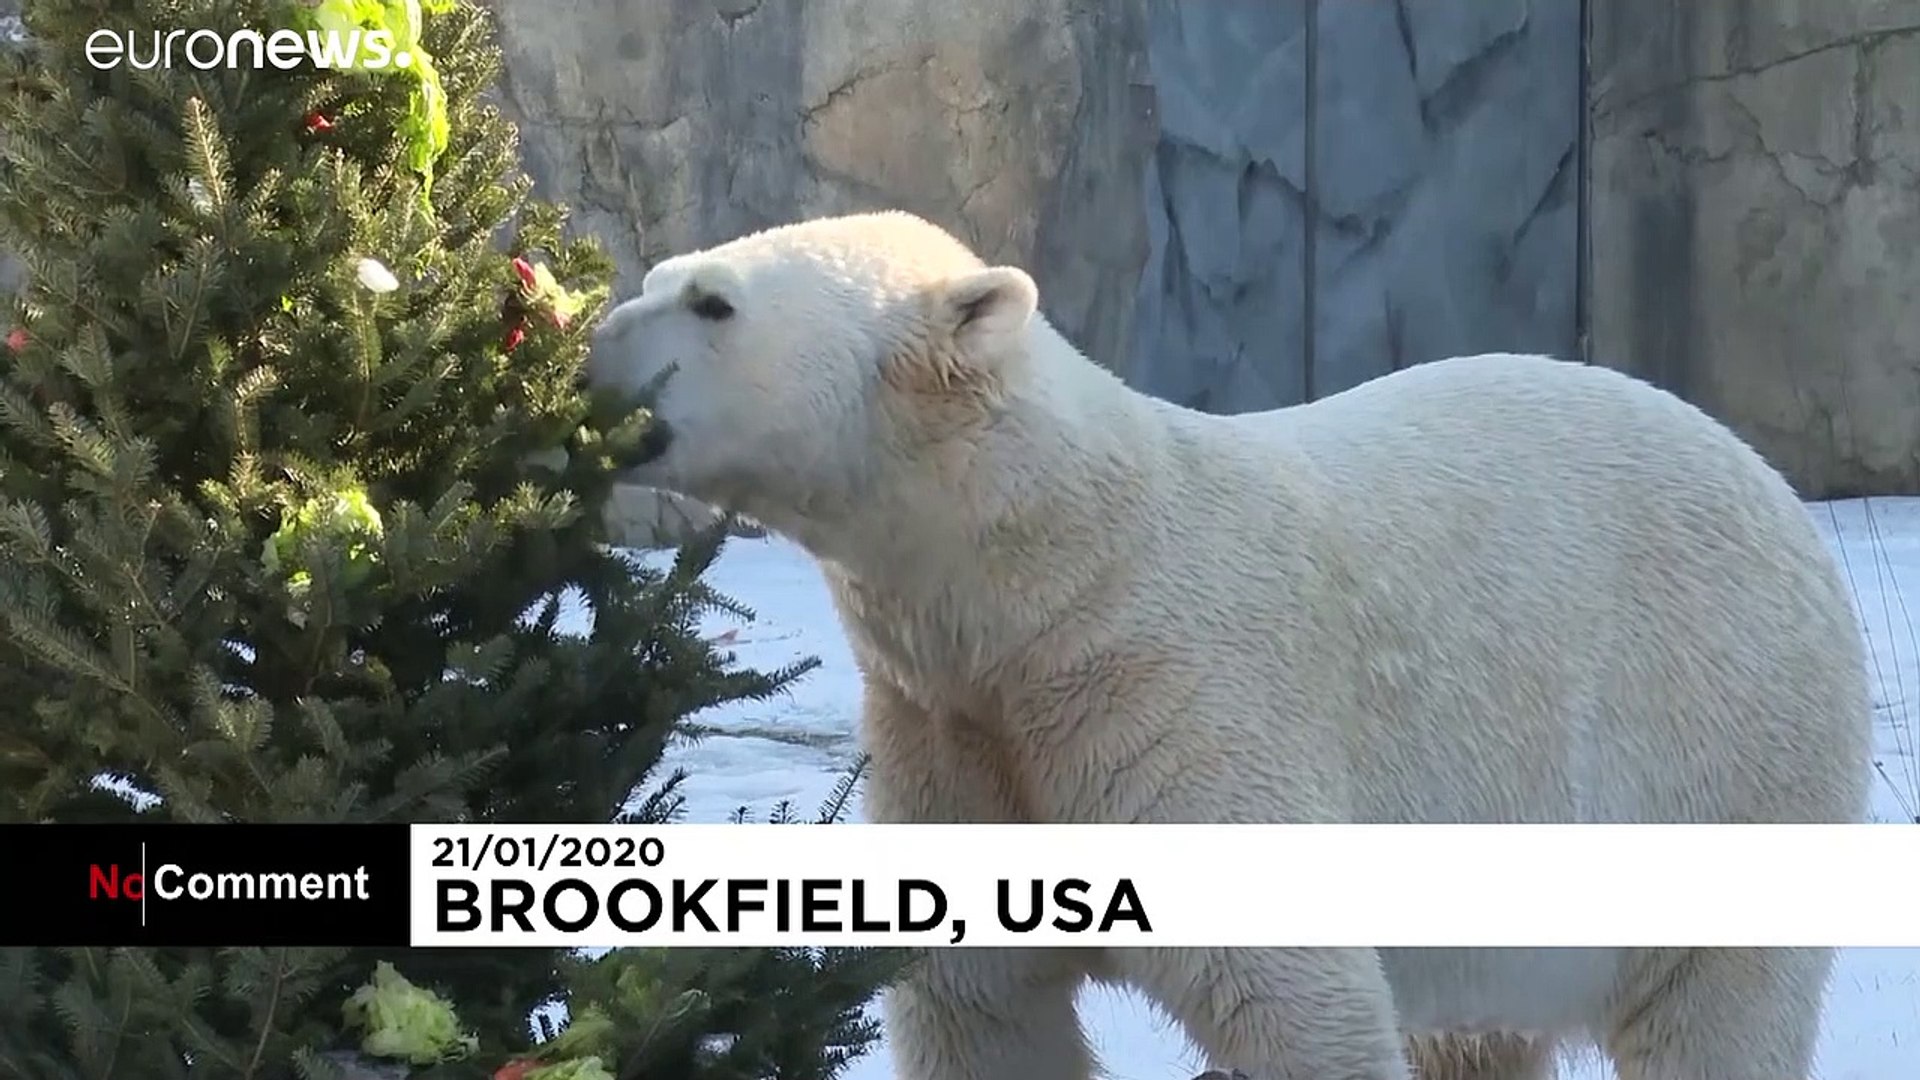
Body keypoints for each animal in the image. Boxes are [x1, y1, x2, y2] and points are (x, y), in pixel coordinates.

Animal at [583, 210, 1873, 1076]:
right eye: (662, 279)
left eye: (712, 303)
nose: (590, 346)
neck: (1046, 584)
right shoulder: (954, 742)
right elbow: (977, 1004)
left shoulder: (1177, 702)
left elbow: (1293, 995)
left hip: (1727, 748)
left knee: (1720, 1007)